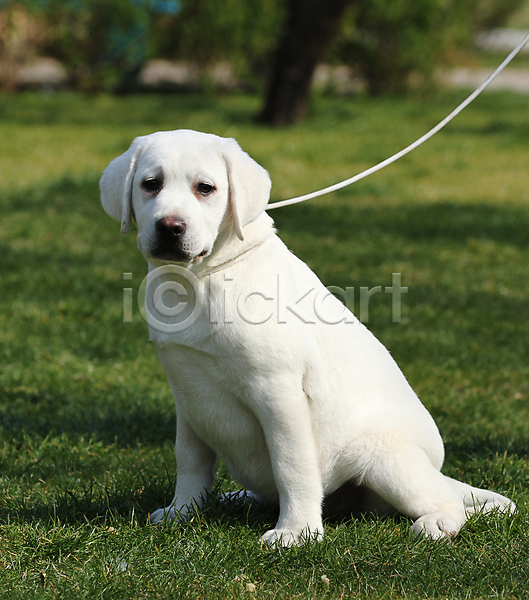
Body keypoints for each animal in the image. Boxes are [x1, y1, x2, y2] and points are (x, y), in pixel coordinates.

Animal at [100, 129, 516, 548]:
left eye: (205, 188)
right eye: (150, 184)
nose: (170, 226)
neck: (198, 281)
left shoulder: (278, 391)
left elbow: (291, 464)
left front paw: (296, 531)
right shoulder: (188, 393)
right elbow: (189, 460)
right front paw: (182, 512)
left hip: (387, 460)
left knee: (448, 500)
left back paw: (438, 522)